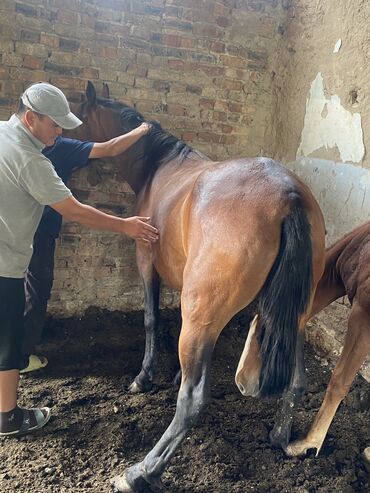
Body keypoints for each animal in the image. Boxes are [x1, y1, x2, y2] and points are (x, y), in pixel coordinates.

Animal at [68, 82, 326, 490]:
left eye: (79, 117)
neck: (159, 167)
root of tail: (289, 194)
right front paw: (173, 371)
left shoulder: (147, 263)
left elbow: (152, 319)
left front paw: (144, 376)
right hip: (294, 318)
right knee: (297, 381)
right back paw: (280, 438)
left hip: (205, 314)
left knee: (192, 401)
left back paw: (141, 471)